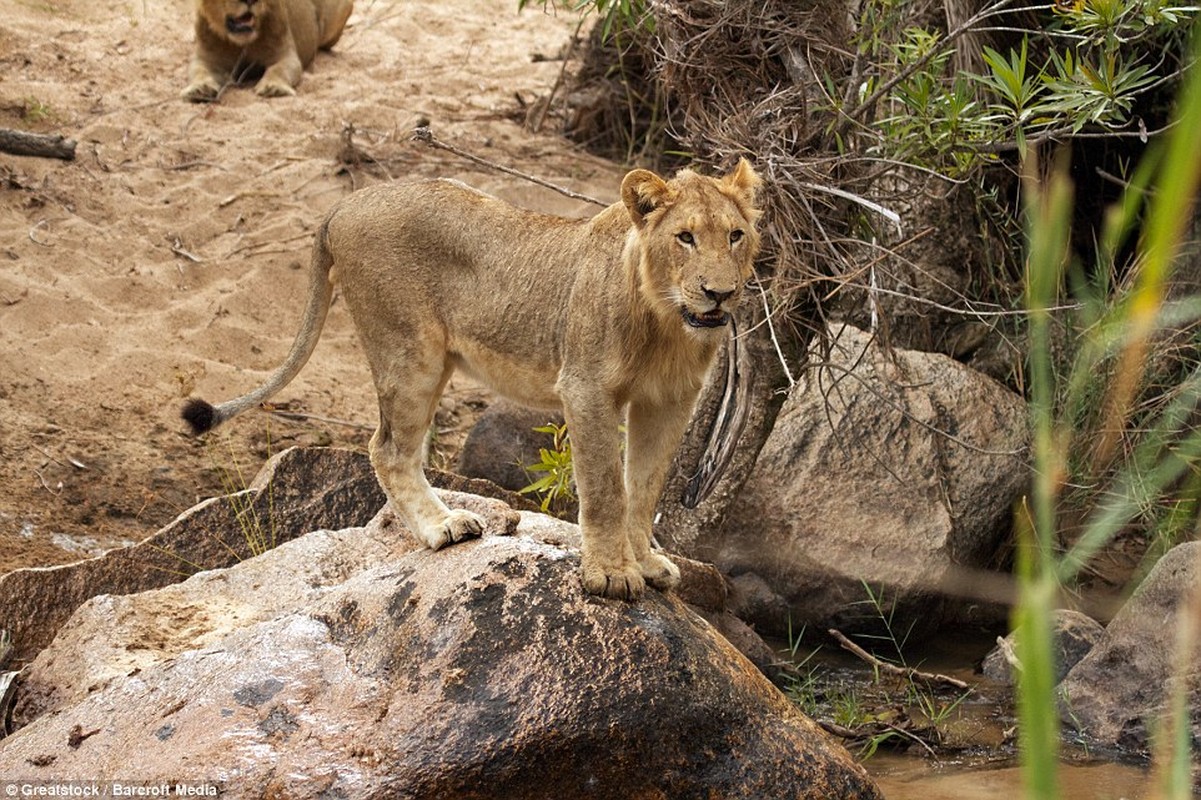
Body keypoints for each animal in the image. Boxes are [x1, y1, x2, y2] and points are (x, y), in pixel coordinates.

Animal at [178, 0, 350, 102]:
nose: (250, 1)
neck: (241, 43)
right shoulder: (206, 57)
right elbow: (199, 71)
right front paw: (199, 89)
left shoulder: (285, 55)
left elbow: (279, 69)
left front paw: (274, 88)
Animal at [182, 162, 763, 598]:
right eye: (685, 238)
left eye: (735, 236)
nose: (720, 294)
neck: (667, 322)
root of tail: (348, 202)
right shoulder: (587, 387)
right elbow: (604, 488)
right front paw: (611, 574)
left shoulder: (669, 401)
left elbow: (643, 488)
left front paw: (643, 562)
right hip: (408, 353)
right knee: (386, 449)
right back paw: (442, 527)